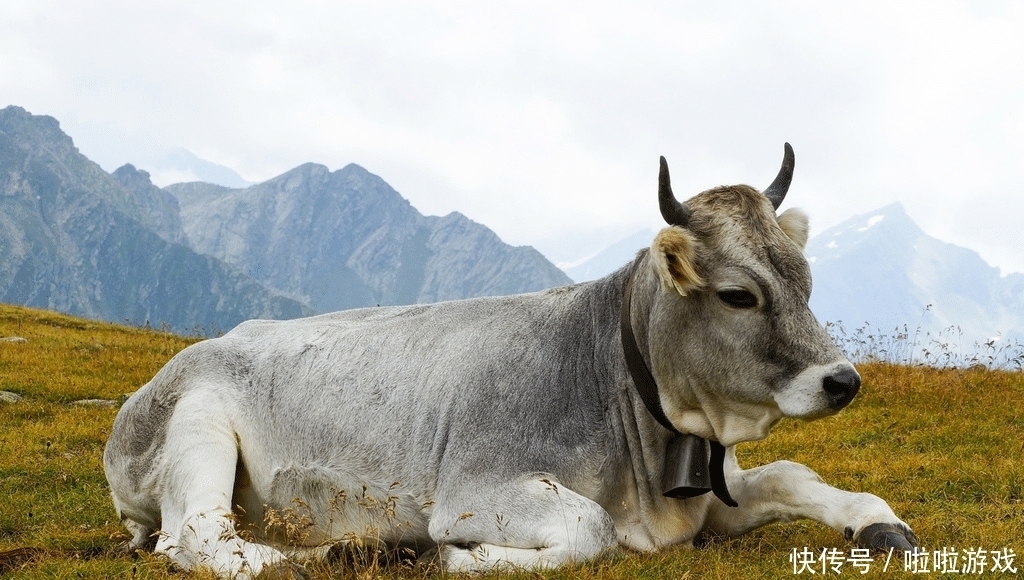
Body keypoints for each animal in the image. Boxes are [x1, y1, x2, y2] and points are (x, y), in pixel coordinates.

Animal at [103, 144, 921, 577]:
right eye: (738, 296)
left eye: (805, 281)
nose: (842, 381)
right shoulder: (476, 486)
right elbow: (589, 528)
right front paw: (464, 558)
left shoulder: (708, 499)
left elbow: (793, 475)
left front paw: (877, 522)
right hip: (196, 425)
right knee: (197, 537)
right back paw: (333, 549)